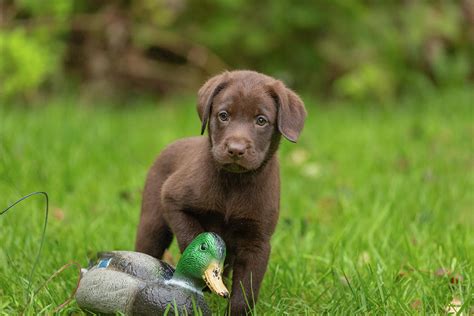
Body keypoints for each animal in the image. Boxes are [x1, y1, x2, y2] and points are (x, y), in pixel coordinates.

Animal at [136, 69, 308, 314]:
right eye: (223, 115)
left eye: (261, 120)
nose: (235, 149)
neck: (234, 182)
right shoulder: (173, 199)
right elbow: (192, 235)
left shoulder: (257, 241)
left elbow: (246, 290)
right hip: (153, 222)